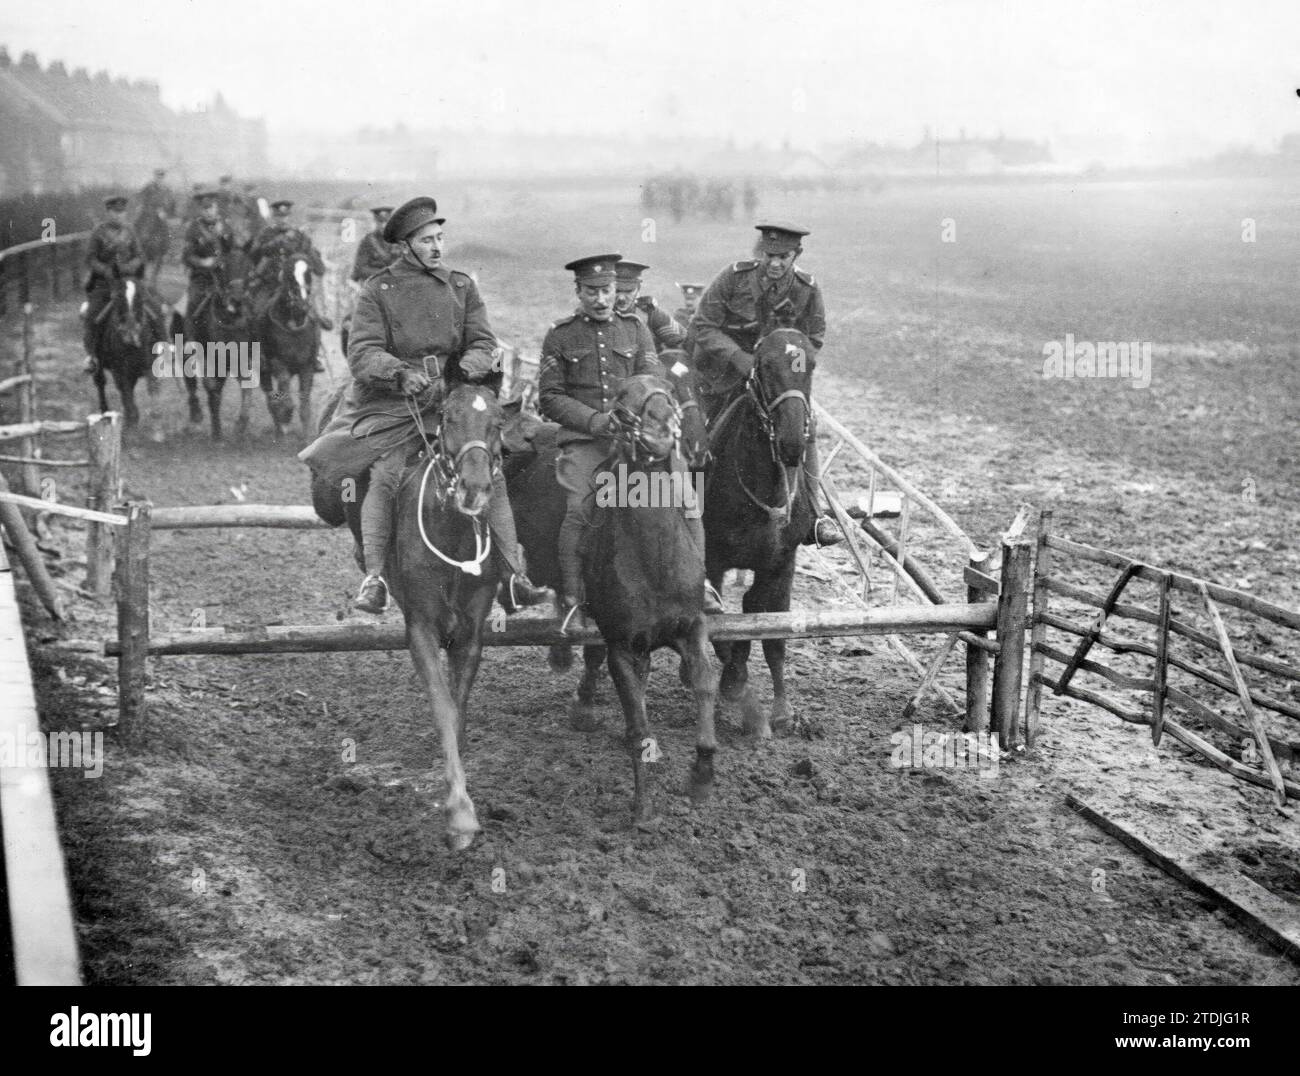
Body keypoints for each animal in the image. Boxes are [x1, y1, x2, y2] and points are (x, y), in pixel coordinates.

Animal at [91, 272, 160, 428]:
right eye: (118, 297)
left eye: (141, 297)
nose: (130, 334)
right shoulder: (120, 372)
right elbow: (128, 400)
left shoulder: (148, 367)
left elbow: (152, 390)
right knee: (100, 383)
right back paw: (106, 413)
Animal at [183, 249, 256, 439]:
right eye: (222, 267)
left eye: (248, 267)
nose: (237, 299)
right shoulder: (208, 361)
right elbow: (212, 389)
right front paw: (217, 433)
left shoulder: (240, 360)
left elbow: (247, 386)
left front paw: (240, 425)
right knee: (193, 385)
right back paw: (196, 415)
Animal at [258, 256, 319, 441]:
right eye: (290, 276)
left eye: (308, 274)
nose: (302, 307)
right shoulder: (278, 363)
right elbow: (284, 401)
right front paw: (286, 417)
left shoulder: (307, 366)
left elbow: (305, 404)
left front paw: (306, 440)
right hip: (265, 372)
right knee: (271, 399)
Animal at [309, 384, 501, 847]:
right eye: (447, 417)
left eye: (499, 421)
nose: (474, 488)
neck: (453, 535)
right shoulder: (421, 630)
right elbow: (443, 710)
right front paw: (459, 814)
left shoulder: (471, 634)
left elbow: (458, 708)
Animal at [707, 323, 816, 738]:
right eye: (765, 365)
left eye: (811, 365)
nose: (791, 442)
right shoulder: (711, 561)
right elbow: (721, 627)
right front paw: (735, 689)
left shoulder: (781, 564)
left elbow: (771, 631)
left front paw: (782, 712)